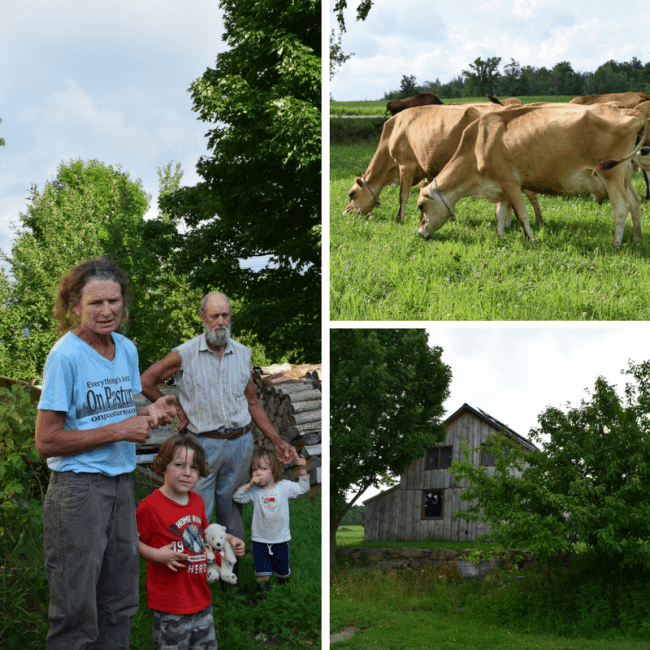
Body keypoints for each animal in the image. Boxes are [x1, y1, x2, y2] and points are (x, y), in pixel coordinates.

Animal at [342, 102, 544, 225]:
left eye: (351, 194)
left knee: (529, 193)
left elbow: (403, 194)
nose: (344, 213)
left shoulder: (406, 165)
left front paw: (400, 218)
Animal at [416, 104, 644, 246]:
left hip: (612, 175)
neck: (478, 145)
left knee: (621, 209)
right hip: (626, 175)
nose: (419, 233)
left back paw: (616, 243)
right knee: (635, 203)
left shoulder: (510, 183)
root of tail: (634, 117)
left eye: (420, 206)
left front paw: (532, 240)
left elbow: (521, 213)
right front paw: (500, 237)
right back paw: (636, 237)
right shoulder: (500, 185)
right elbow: (500, 213)